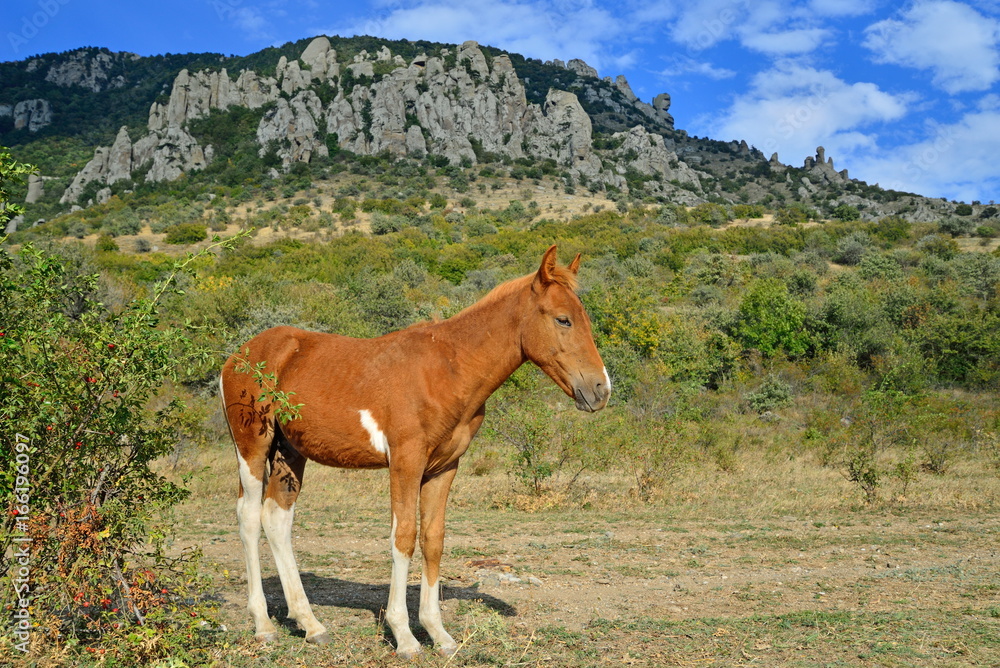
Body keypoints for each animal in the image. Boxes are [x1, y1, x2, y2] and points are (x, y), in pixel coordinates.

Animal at [219, 245, 610, 658]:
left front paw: (439, 634)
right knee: (249, 517)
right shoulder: (405, 463)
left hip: (290, 453)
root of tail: (238, 356)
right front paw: (404, 636)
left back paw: (311, 625)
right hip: (252, 447)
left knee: (277, 519)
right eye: (563, 319)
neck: (449, 369)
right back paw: (263, 625)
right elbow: (404, 537)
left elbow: (433, 540)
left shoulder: (443, 467)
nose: (601, 390)